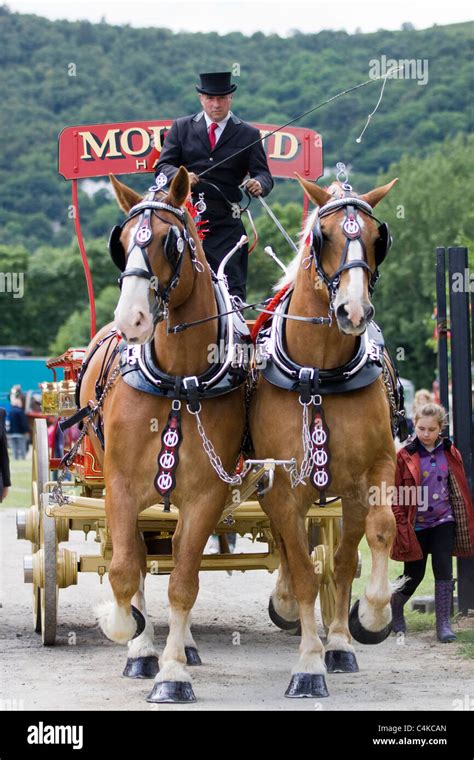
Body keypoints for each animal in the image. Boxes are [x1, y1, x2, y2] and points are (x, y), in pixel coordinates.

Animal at [78, 169, 246, 704]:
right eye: (122, 240)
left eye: (171, 241)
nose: (131, 319)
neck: (178, 378)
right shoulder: (121, 489)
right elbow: (123, 571)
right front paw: (127, 633)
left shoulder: (206, 495)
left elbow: (184, 581)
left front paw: (173, 673)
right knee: (136, 564)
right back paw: (140, 644)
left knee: (171, 563)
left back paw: (181, 644)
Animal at [252, 175, 400, 696]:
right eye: (324, 236)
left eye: (378, 238)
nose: (353, 311)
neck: (319, 371)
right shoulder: (281, 484)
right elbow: (301, 568)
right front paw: (309, 663)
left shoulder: (375, 470)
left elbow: (371, 539)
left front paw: (367, 619)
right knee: (287, 547)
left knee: (341, 556)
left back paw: (339, 640)